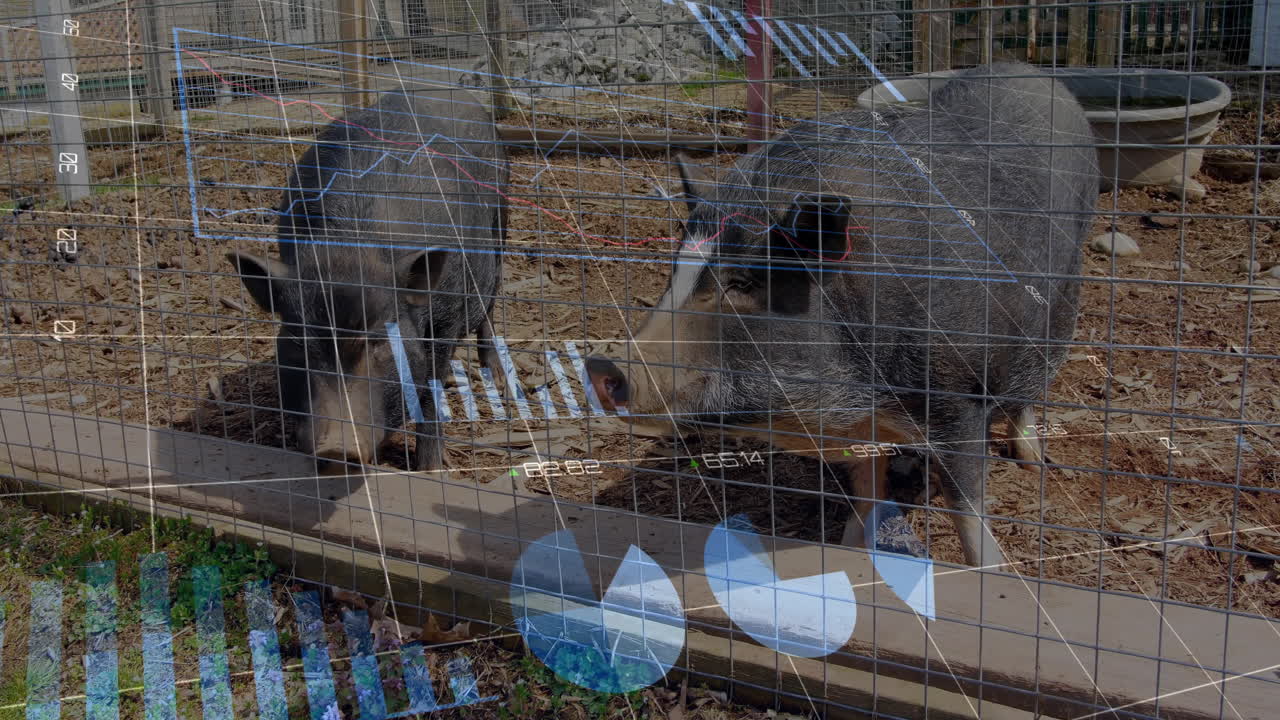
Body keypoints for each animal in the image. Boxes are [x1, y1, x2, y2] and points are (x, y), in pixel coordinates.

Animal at [227, 89, 507, 476]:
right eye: (299, 344)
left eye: (379, 343)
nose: (335, 449)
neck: (351, 248)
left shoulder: (445, 318)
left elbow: (430, 391)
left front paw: (430, 469)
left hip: (501, 216)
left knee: (492, 293)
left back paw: (497, 376)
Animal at [587, 62, 1098, 568]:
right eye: (675, 272)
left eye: (744, 282)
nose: (602, 363)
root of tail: (1034, 71)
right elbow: (867, 492)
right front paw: (850, 550)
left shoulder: (959, 399)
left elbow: (966, 506)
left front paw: (990, 570)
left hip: (1063, 290)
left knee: (1033, 378)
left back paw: (1033, 461)